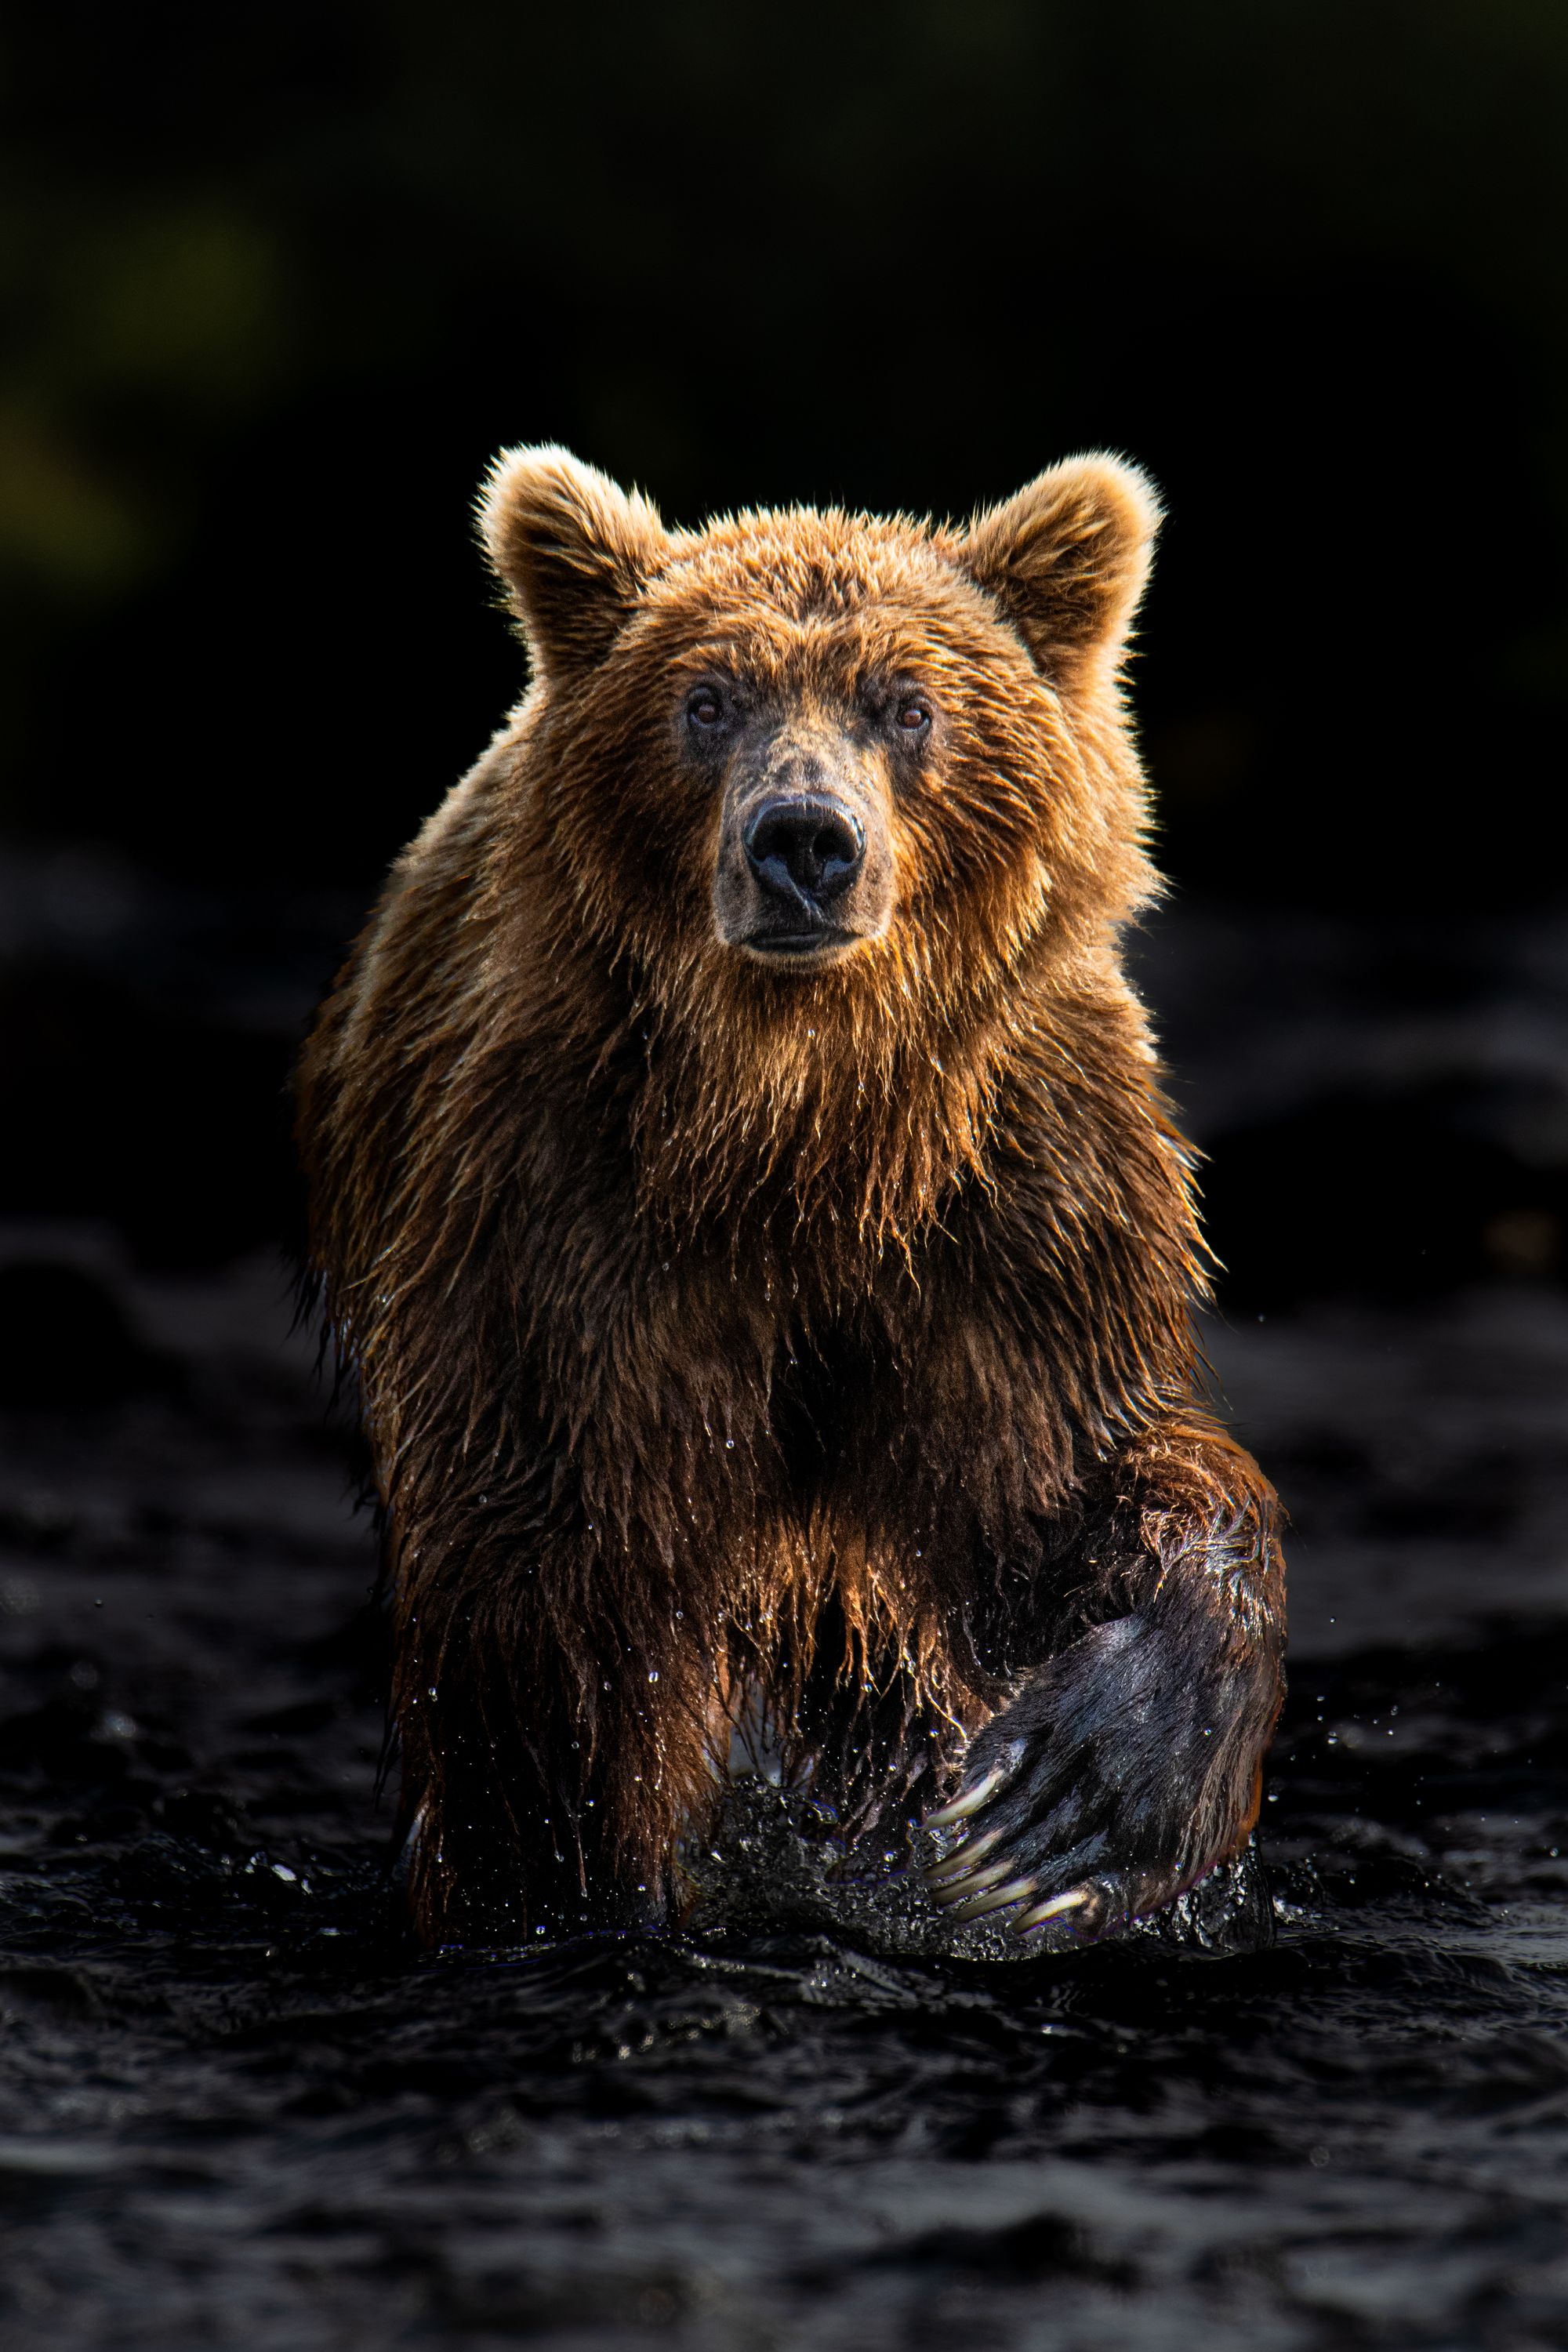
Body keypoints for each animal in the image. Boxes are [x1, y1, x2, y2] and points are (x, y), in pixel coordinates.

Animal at [297, 445, 1286, 1951]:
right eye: (707, 701)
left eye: (907, 703)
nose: (805, 843)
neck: (807, 1127)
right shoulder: (566, 1211)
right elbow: (556, 1597)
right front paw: (585, 1891)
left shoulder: (1015, 1206)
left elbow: (1080, 1484)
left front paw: (1077, 1792)